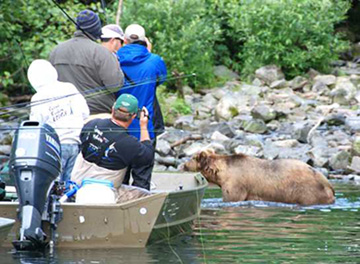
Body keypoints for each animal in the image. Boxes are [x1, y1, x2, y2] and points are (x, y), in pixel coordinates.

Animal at [184, 150, 336, 205]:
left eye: (192, 158)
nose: (183, 165)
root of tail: (329, 184)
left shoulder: (235, 184)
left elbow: (231, 198)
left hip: (308, 191)